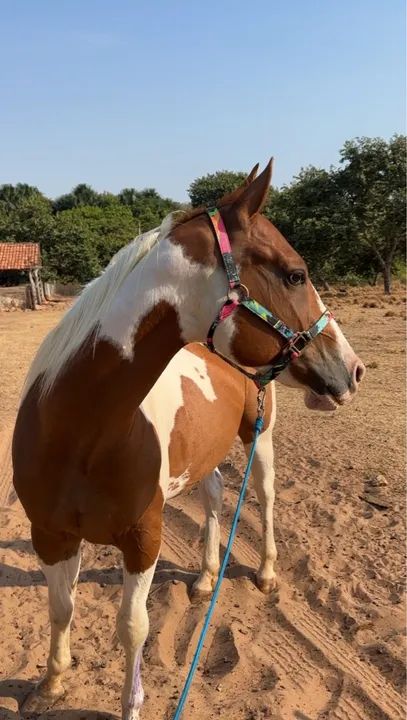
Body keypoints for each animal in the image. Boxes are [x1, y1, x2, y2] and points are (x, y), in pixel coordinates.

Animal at [12, 160, 365, 719]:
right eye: (295, 274)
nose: (354, 369)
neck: (79, 434)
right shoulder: (50, 534)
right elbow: (60, 607)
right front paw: (52, 683)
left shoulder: (144, 538)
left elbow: (132, 628)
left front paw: (130, 705)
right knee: (216, 494)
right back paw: (203, 579)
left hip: (260, 437)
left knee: (264, 496)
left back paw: (266, 573)